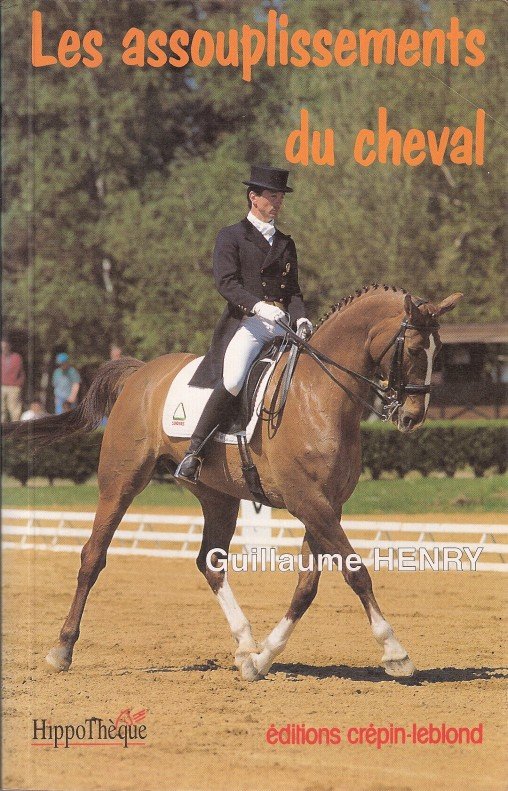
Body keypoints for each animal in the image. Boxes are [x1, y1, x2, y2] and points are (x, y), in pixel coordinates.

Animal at [4, 285, 462, 681]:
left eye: (438, 352)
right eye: (415, 350)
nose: (411, 417)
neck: (320, 397)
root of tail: (141, 373)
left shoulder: (326, 505)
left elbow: (306, 588)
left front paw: (262, 659)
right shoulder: (307, 501)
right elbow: (356, 572)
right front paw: (396, 653)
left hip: (218, 497)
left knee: (210, 562)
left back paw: (244, 645)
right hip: (120, 482)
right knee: (92, 557)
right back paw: (61, 650)